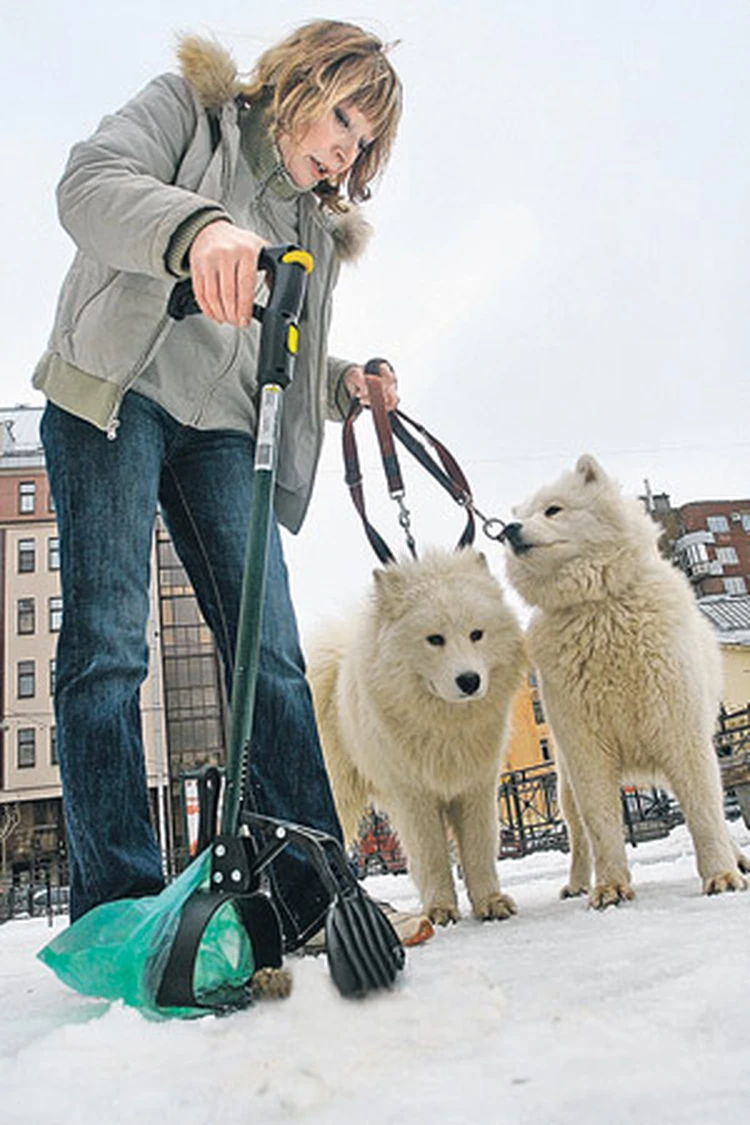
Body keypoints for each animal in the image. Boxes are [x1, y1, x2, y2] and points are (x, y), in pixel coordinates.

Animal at [308, 544, 526, 922]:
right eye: (434, 639)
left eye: (476, 634)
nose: (469, 680)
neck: (446, 725)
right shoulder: (414, 795)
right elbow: (432, 856)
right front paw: (441, 910)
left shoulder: (476, 787)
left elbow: (479, 850)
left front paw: (491, 902)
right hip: (339, 793)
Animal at [503, 452, 750, 909]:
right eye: (523, 515)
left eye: (553, 510)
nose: (509, 530)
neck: (598, 607)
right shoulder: (587, 751)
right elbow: (602, 830)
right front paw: (611, 887)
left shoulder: (681, 735)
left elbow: (706, 815)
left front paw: (721, 875)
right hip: (565, 784)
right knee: (579, 839)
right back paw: (578, 883)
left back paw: (737, 859)